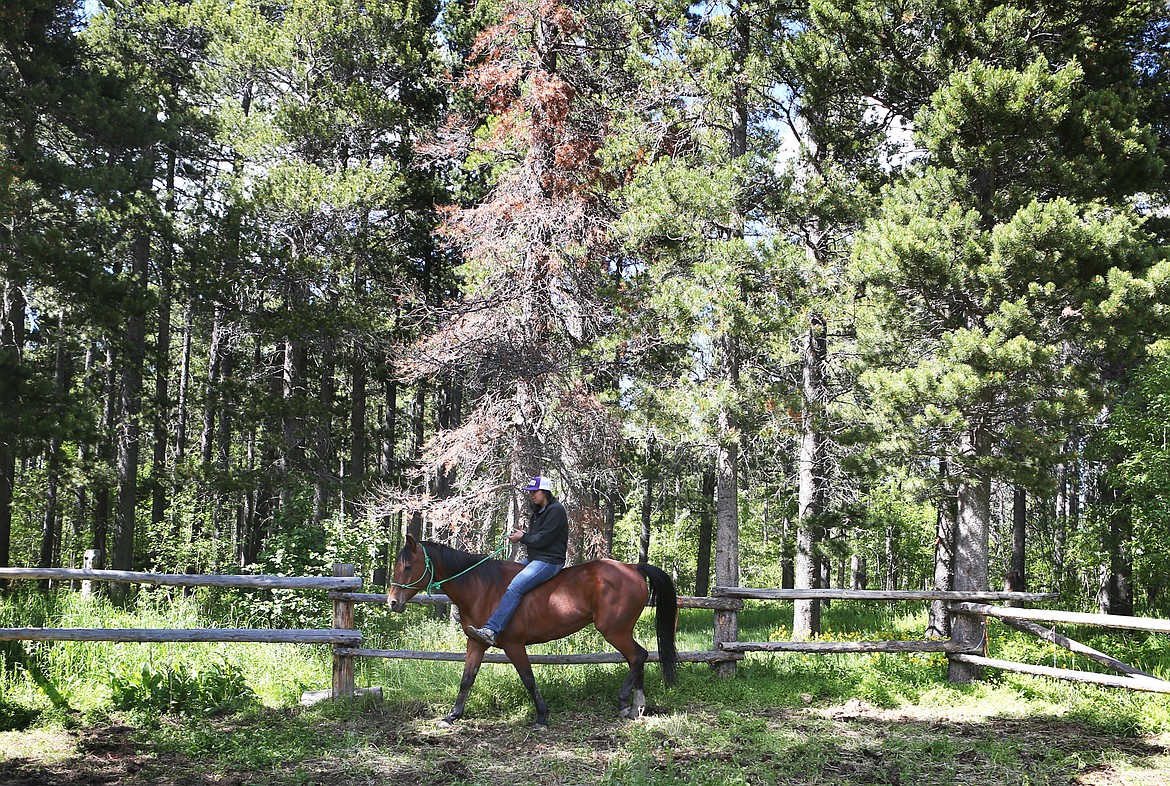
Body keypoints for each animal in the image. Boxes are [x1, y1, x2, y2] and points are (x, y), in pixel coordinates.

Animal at [386, 538, 678, 729]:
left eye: (408, 567)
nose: (392, 602)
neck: (483, 588)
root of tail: (633, 568)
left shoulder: (514, 645)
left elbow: (528, 679)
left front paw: (542, 717)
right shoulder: (476, 642)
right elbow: (467, 679)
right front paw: (452, 716)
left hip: (615, 631)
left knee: (638, 656)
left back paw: (624, 703)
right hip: (620, 631)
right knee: (637, 658)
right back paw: (636, 707)